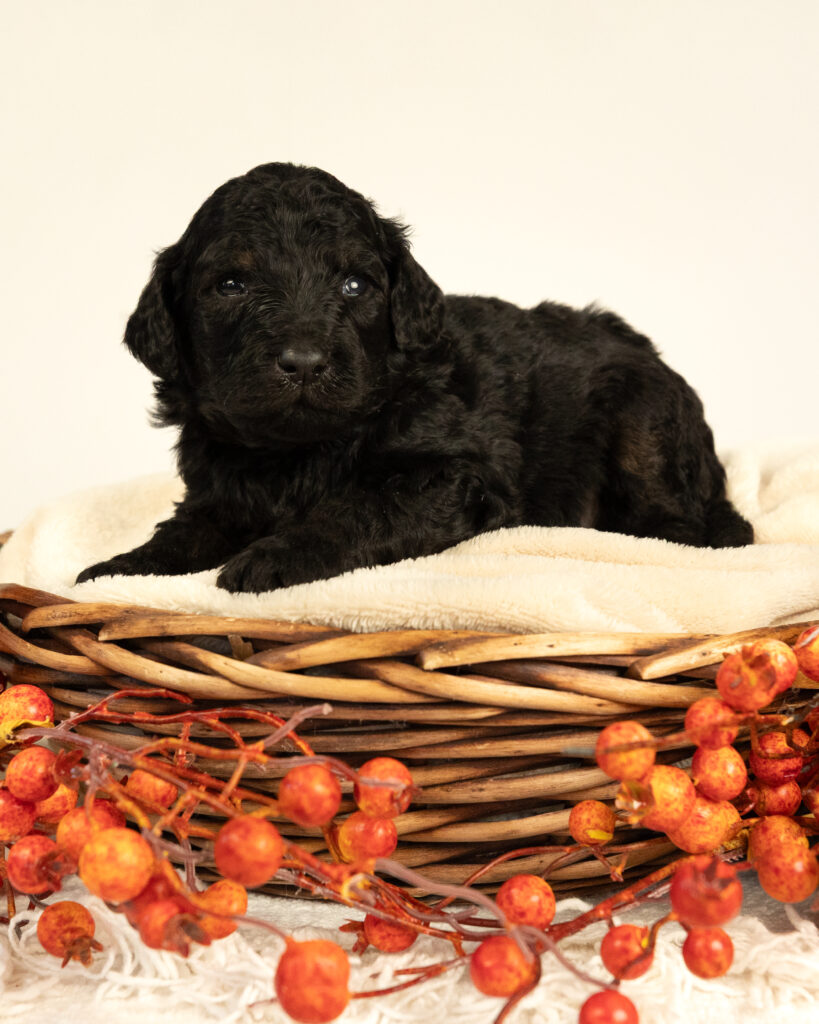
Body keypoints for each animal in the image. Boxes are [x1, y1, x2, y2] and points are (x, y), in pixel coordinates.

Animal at [77, 162, 753, 593]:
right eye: (231, 284)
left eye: (355, 285)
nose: (303, 362)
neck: (297, 452)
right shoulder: (217, 490)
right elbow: (182, 531)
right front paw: (119, 569)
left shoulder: (451, 476)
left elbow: (355, 509)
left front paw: (270, 558)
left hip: (645, 421)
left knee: (682, 524)